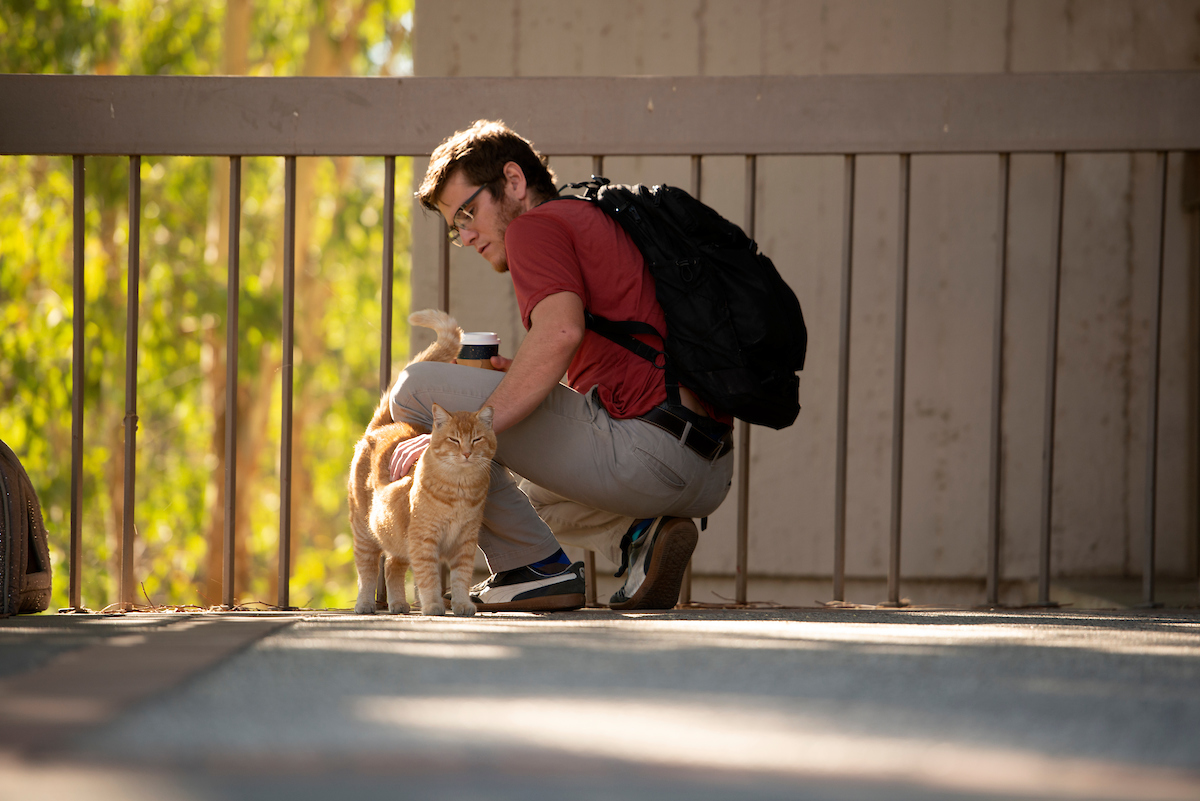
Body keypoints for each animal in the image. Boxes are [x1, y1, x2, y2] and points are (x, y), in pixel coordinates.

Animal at [348, 309, 496, 618]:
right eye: (454, 440)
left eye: (476, 439)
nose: (466, 453)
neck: (460, 490)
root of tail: (384, 427)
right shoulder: (424, 540)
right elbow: (428, 578)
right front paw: (433, 607)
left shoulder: (465, 543)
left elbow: (461, 579)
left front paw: (462, 606)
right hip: (365, 533)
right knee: (367, 572)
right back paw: (365, 604)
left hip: (395, 540)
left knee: (392, 567)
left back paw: (398, 605)